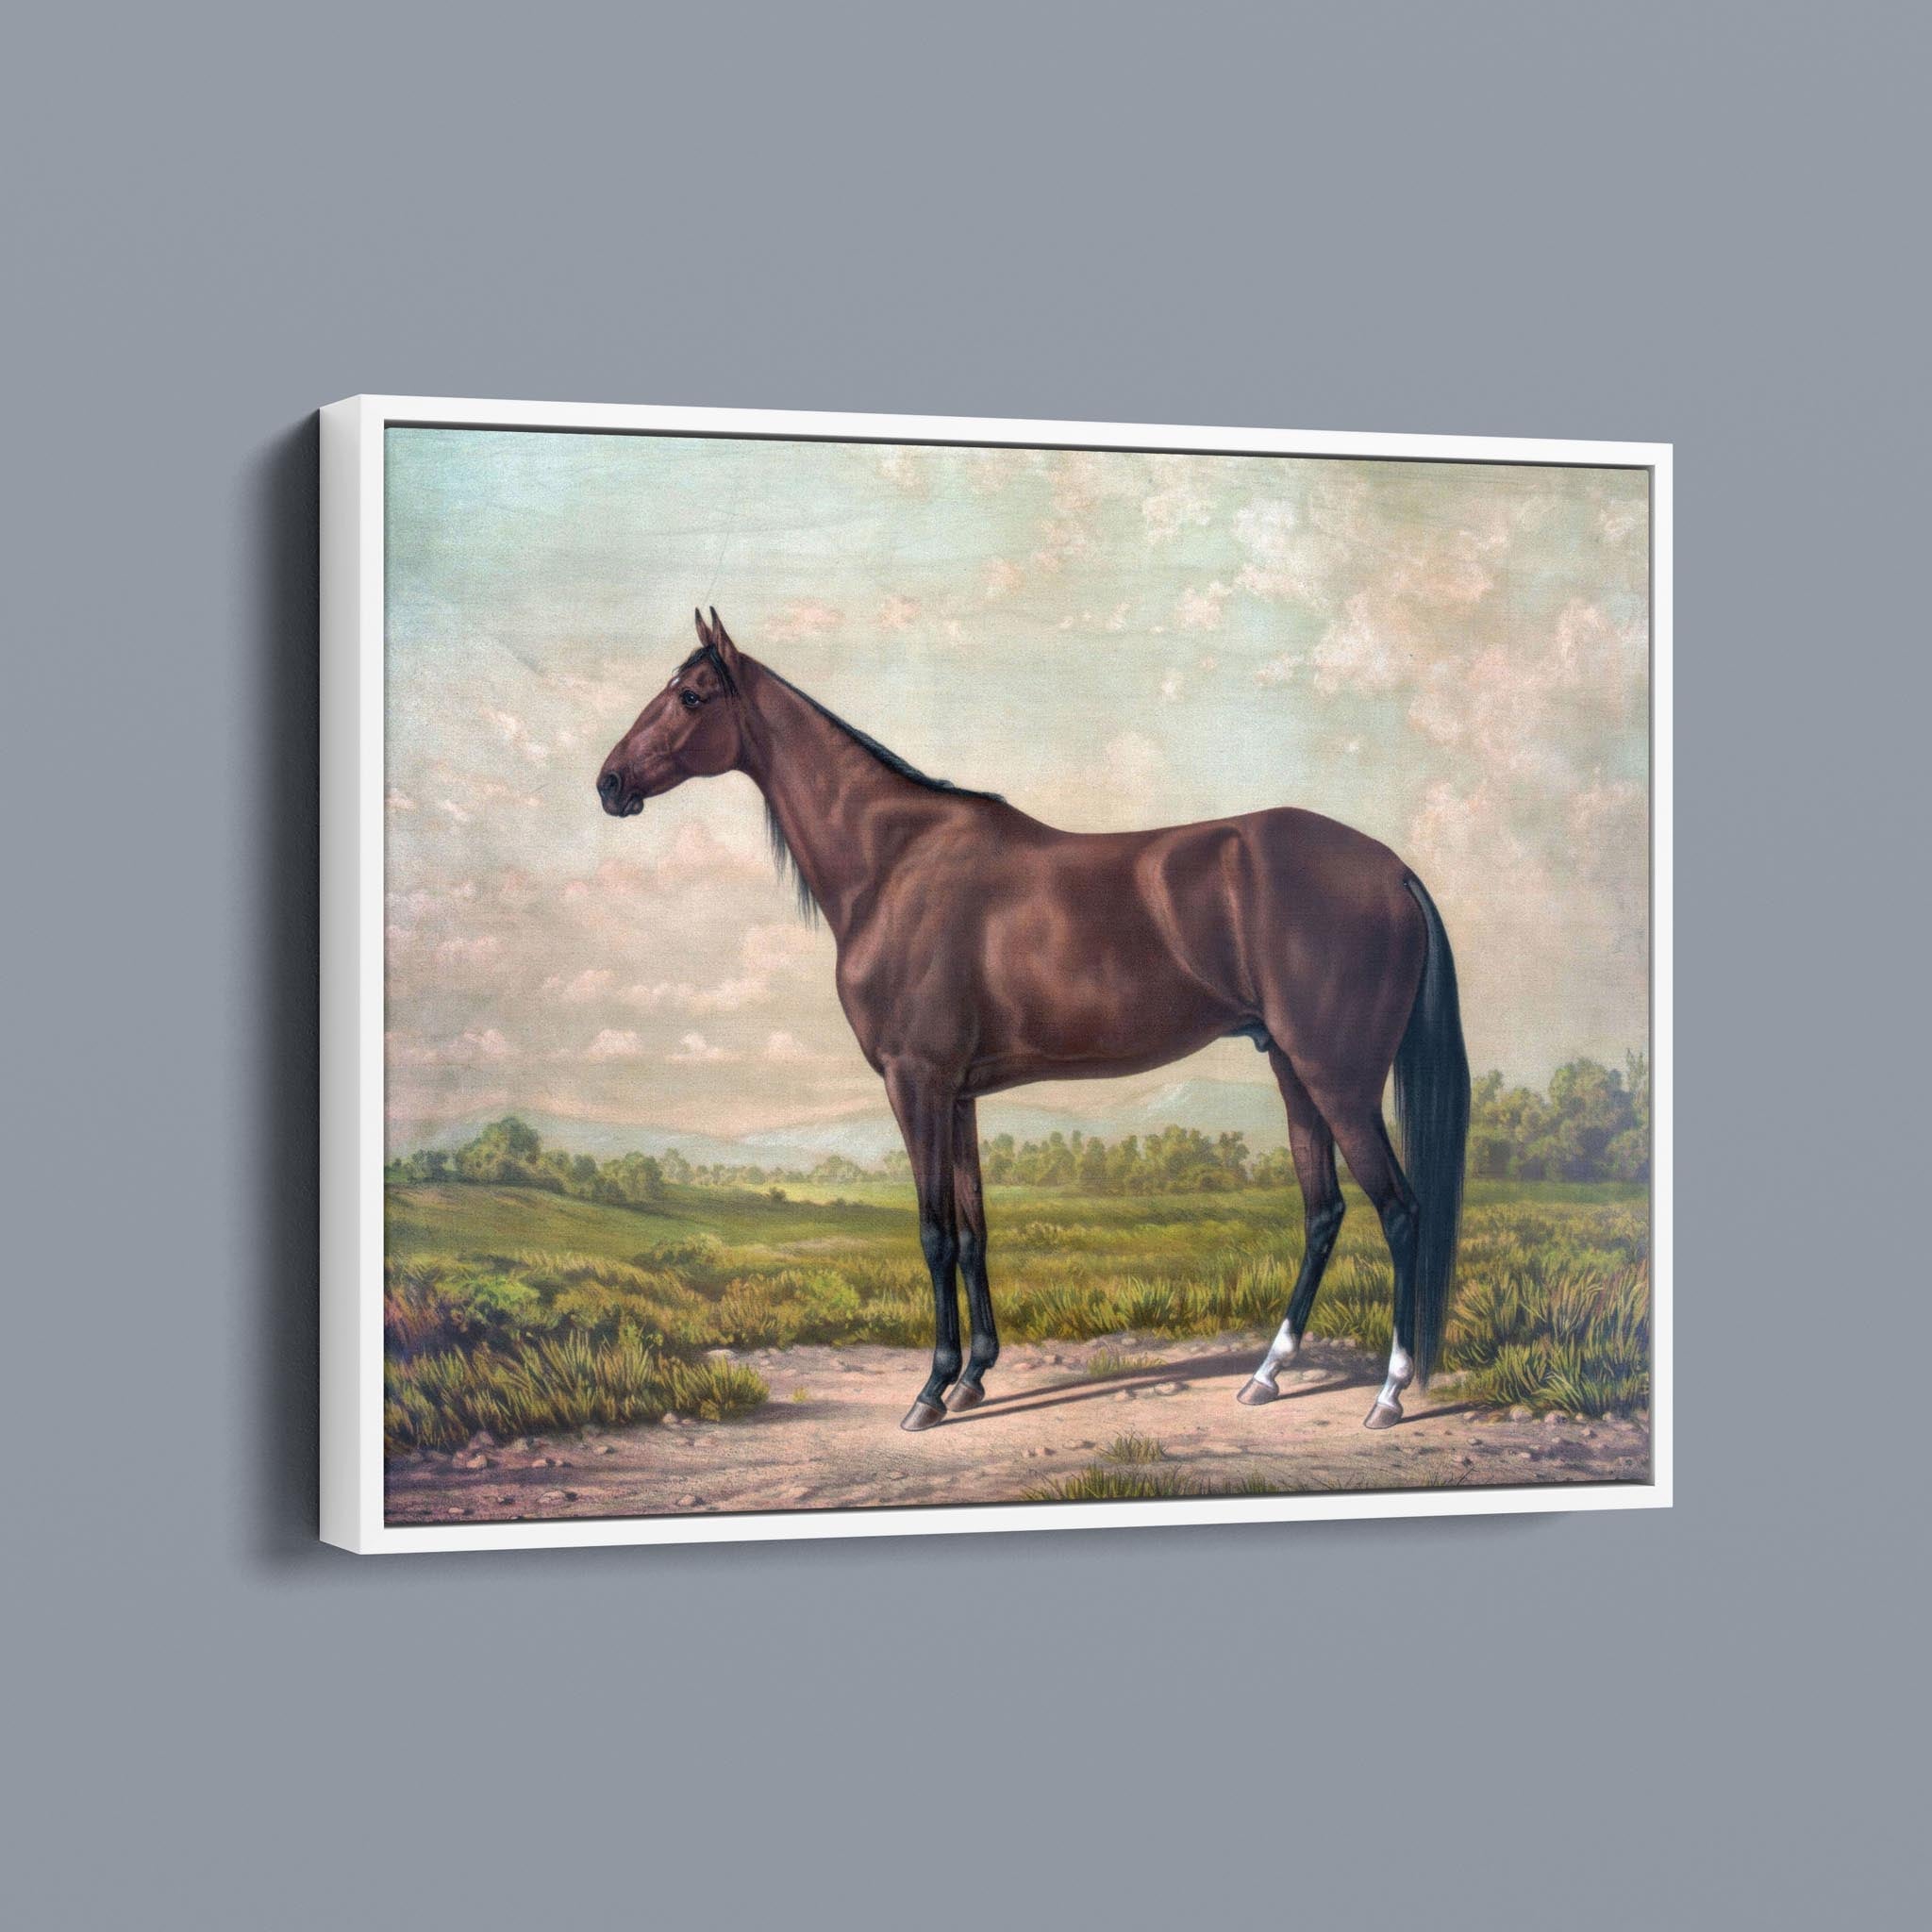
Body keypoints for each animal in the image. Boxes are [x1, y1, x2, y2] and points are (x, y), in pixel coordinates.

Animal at [598, 609, 1470, 1434]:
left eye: (691, 695)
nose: (609, 783)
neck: (894, 864)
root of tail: (1392, 868)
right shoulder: (958, 1096)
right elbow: (974, 1230)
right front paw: (974, 1375)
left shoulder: (915, 1085)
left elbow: (934, 1233)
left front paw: (930, 1392)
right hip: (1293, 1072)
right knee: (1324, 1213)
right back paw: (1266, 1375)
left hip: (1339, 1080)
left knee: (1399, 1211)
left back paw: (1389, 1393)